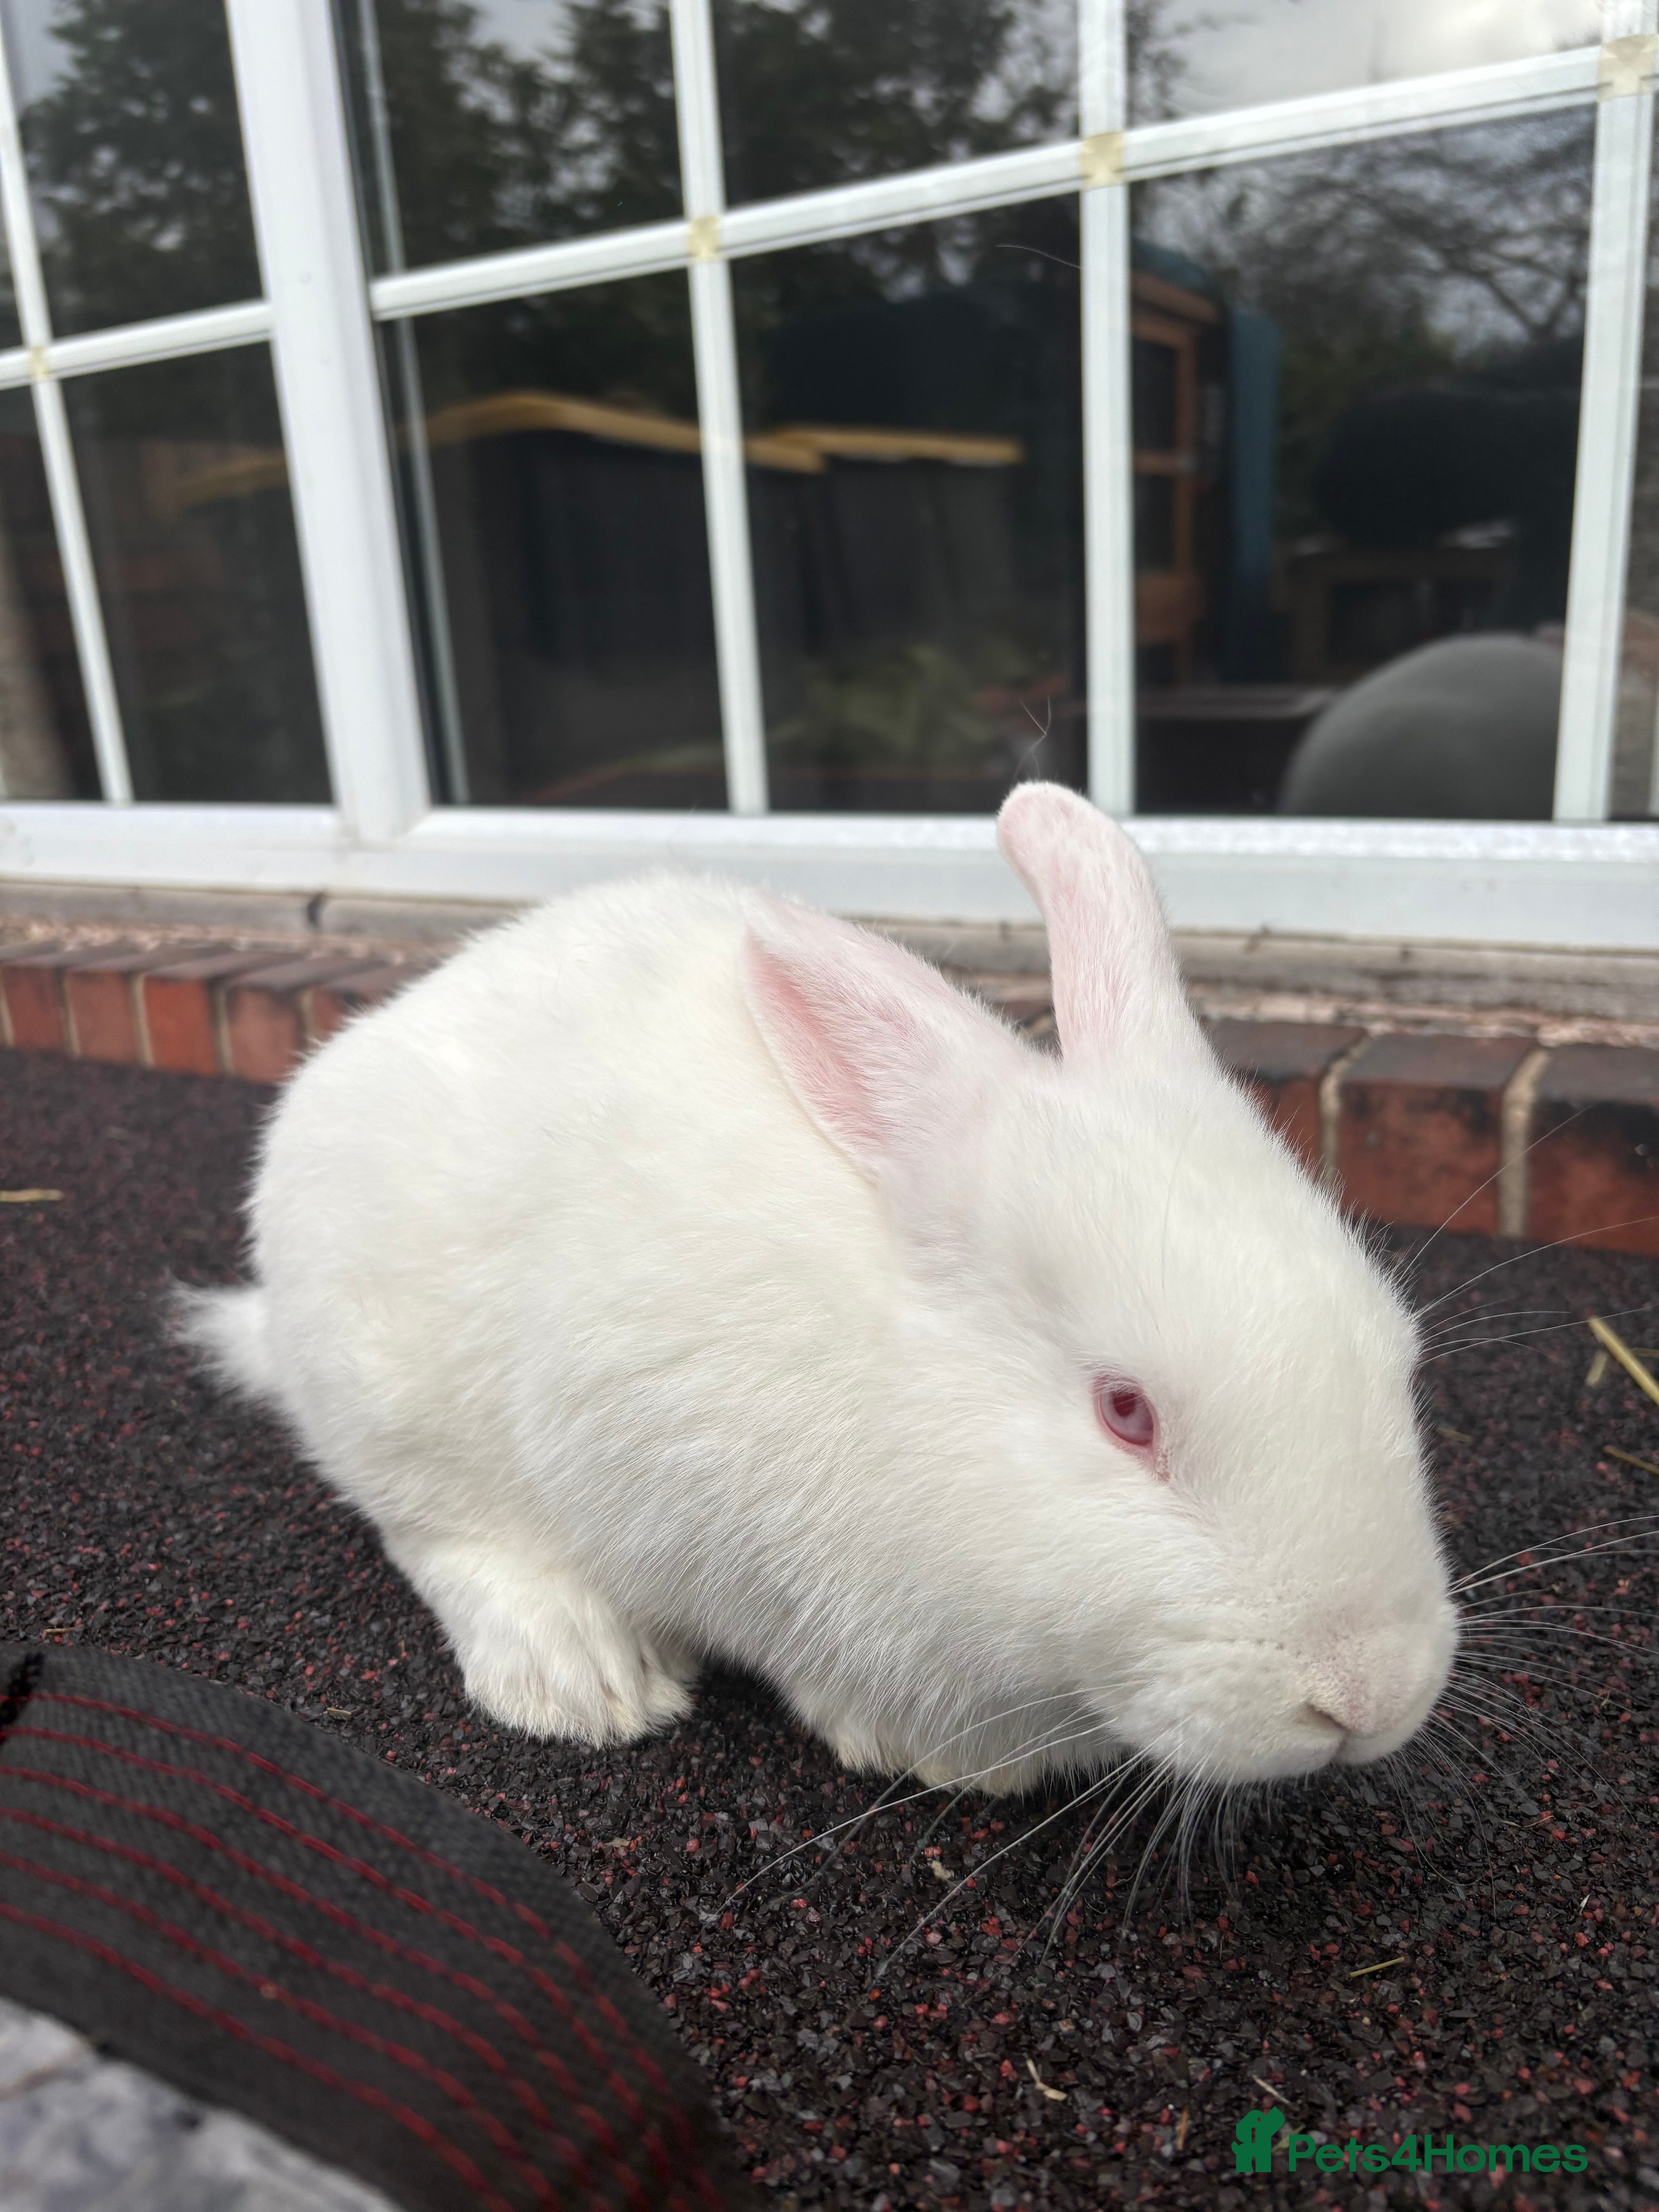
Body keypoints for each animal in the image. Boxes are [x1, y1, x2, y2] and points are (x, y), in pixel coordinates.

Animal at [182, 783, 1457, 1796]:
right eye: (1125, 1411)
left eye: (1394, 1354)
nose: (1372, 1694)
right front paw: (923, 1750)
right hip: (394, 1391)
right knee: (438, 1531)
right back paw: (584, 1677)